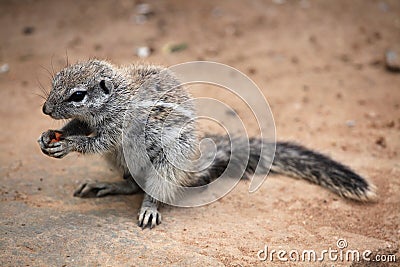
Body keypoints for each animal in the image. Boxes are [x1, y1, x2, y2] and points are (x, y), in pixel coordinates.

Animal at [36, 60, 376, 228]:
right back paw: (107, 185)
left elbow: (96, 143)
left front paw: (67, 145)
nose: (45, 109)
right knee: (132, 183)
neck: (117, 95)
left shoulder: (118, 125)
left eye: (78, 95)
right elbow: (76, 127)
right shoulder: (91, 122)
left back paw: (149, 208)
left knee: (156, 187)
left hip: (168, 162)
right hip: (124, 161)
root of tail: (192, 167)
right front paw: (50, 136)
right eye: (55, 82)